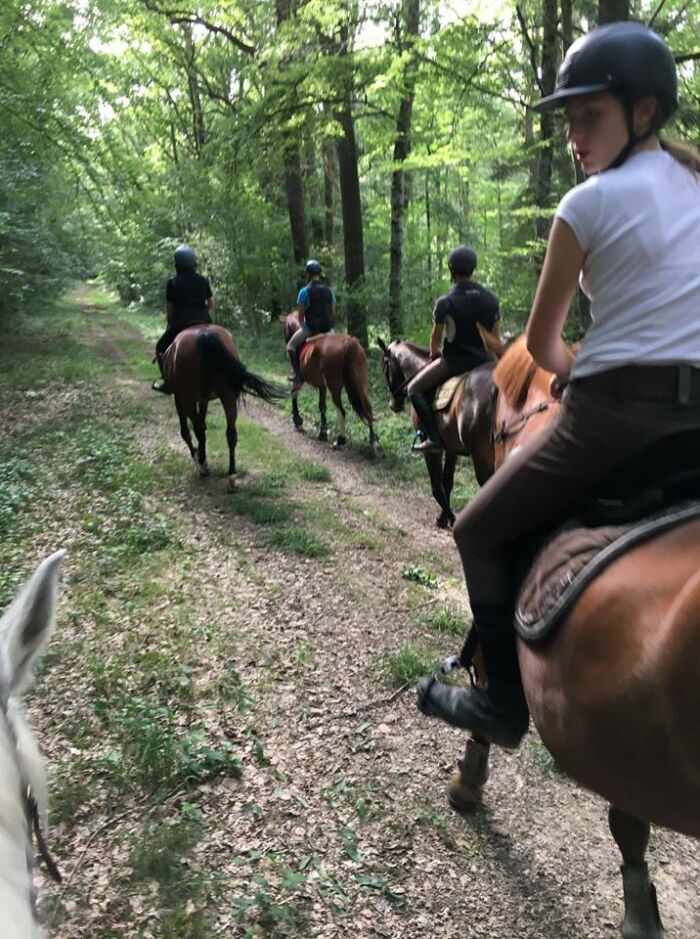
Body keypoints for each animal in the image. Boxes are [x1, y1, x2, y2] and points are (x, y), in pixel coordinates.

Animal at [164, 324, 284, 492]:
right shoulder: (203, 399)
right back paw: (231, 476)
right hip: (228, 395)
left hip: (189, 398)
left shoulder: (179, 398)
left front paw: (198, 455)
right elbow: (202, 424)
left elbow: (186, 431)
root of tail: (204, 334)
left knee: (198, 430)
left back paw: (202, 464)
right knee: (230, 434)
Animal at [280, 314, 380, 458]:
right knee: (368, 409)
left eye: (285, 329)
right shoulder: (322, 385)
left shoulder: (299, 379)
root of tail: (349, 342)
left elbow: (294, 394)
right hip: (361, 385)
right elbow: (322, 406)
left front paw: (297, 420)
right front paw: (322, 432)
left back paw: (340, 441)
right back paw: (374, 442)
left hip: (335, 387)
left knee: (342, 411)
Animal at [378, 338, 498, 528]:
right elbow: (447, 480)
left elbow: (436, 486)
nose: (393, 404)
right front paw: (443, 517)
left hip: (482, 454)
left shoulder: (431, 447)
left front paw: (451, 518)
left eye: (385, 367)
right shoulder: (451, 448)